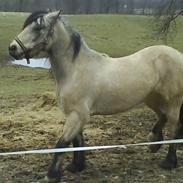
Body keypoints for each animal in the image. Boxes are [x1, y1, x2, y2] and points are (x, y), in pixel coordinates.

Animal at [8, 10, 183, 182]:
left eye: (38, 28)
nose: (12, 48)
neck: (75, 70)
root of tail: (177, 55)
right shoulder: (73, 114)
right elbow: (77, 141)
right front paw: (76, 166)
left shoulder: (78, 115)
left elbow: (62, 143)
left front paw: (51, 175)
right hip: (152, 98)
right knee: (162, 116)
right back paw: (153, 142)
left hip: (172, 102)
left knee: (173, 127)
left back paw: (169, 162)